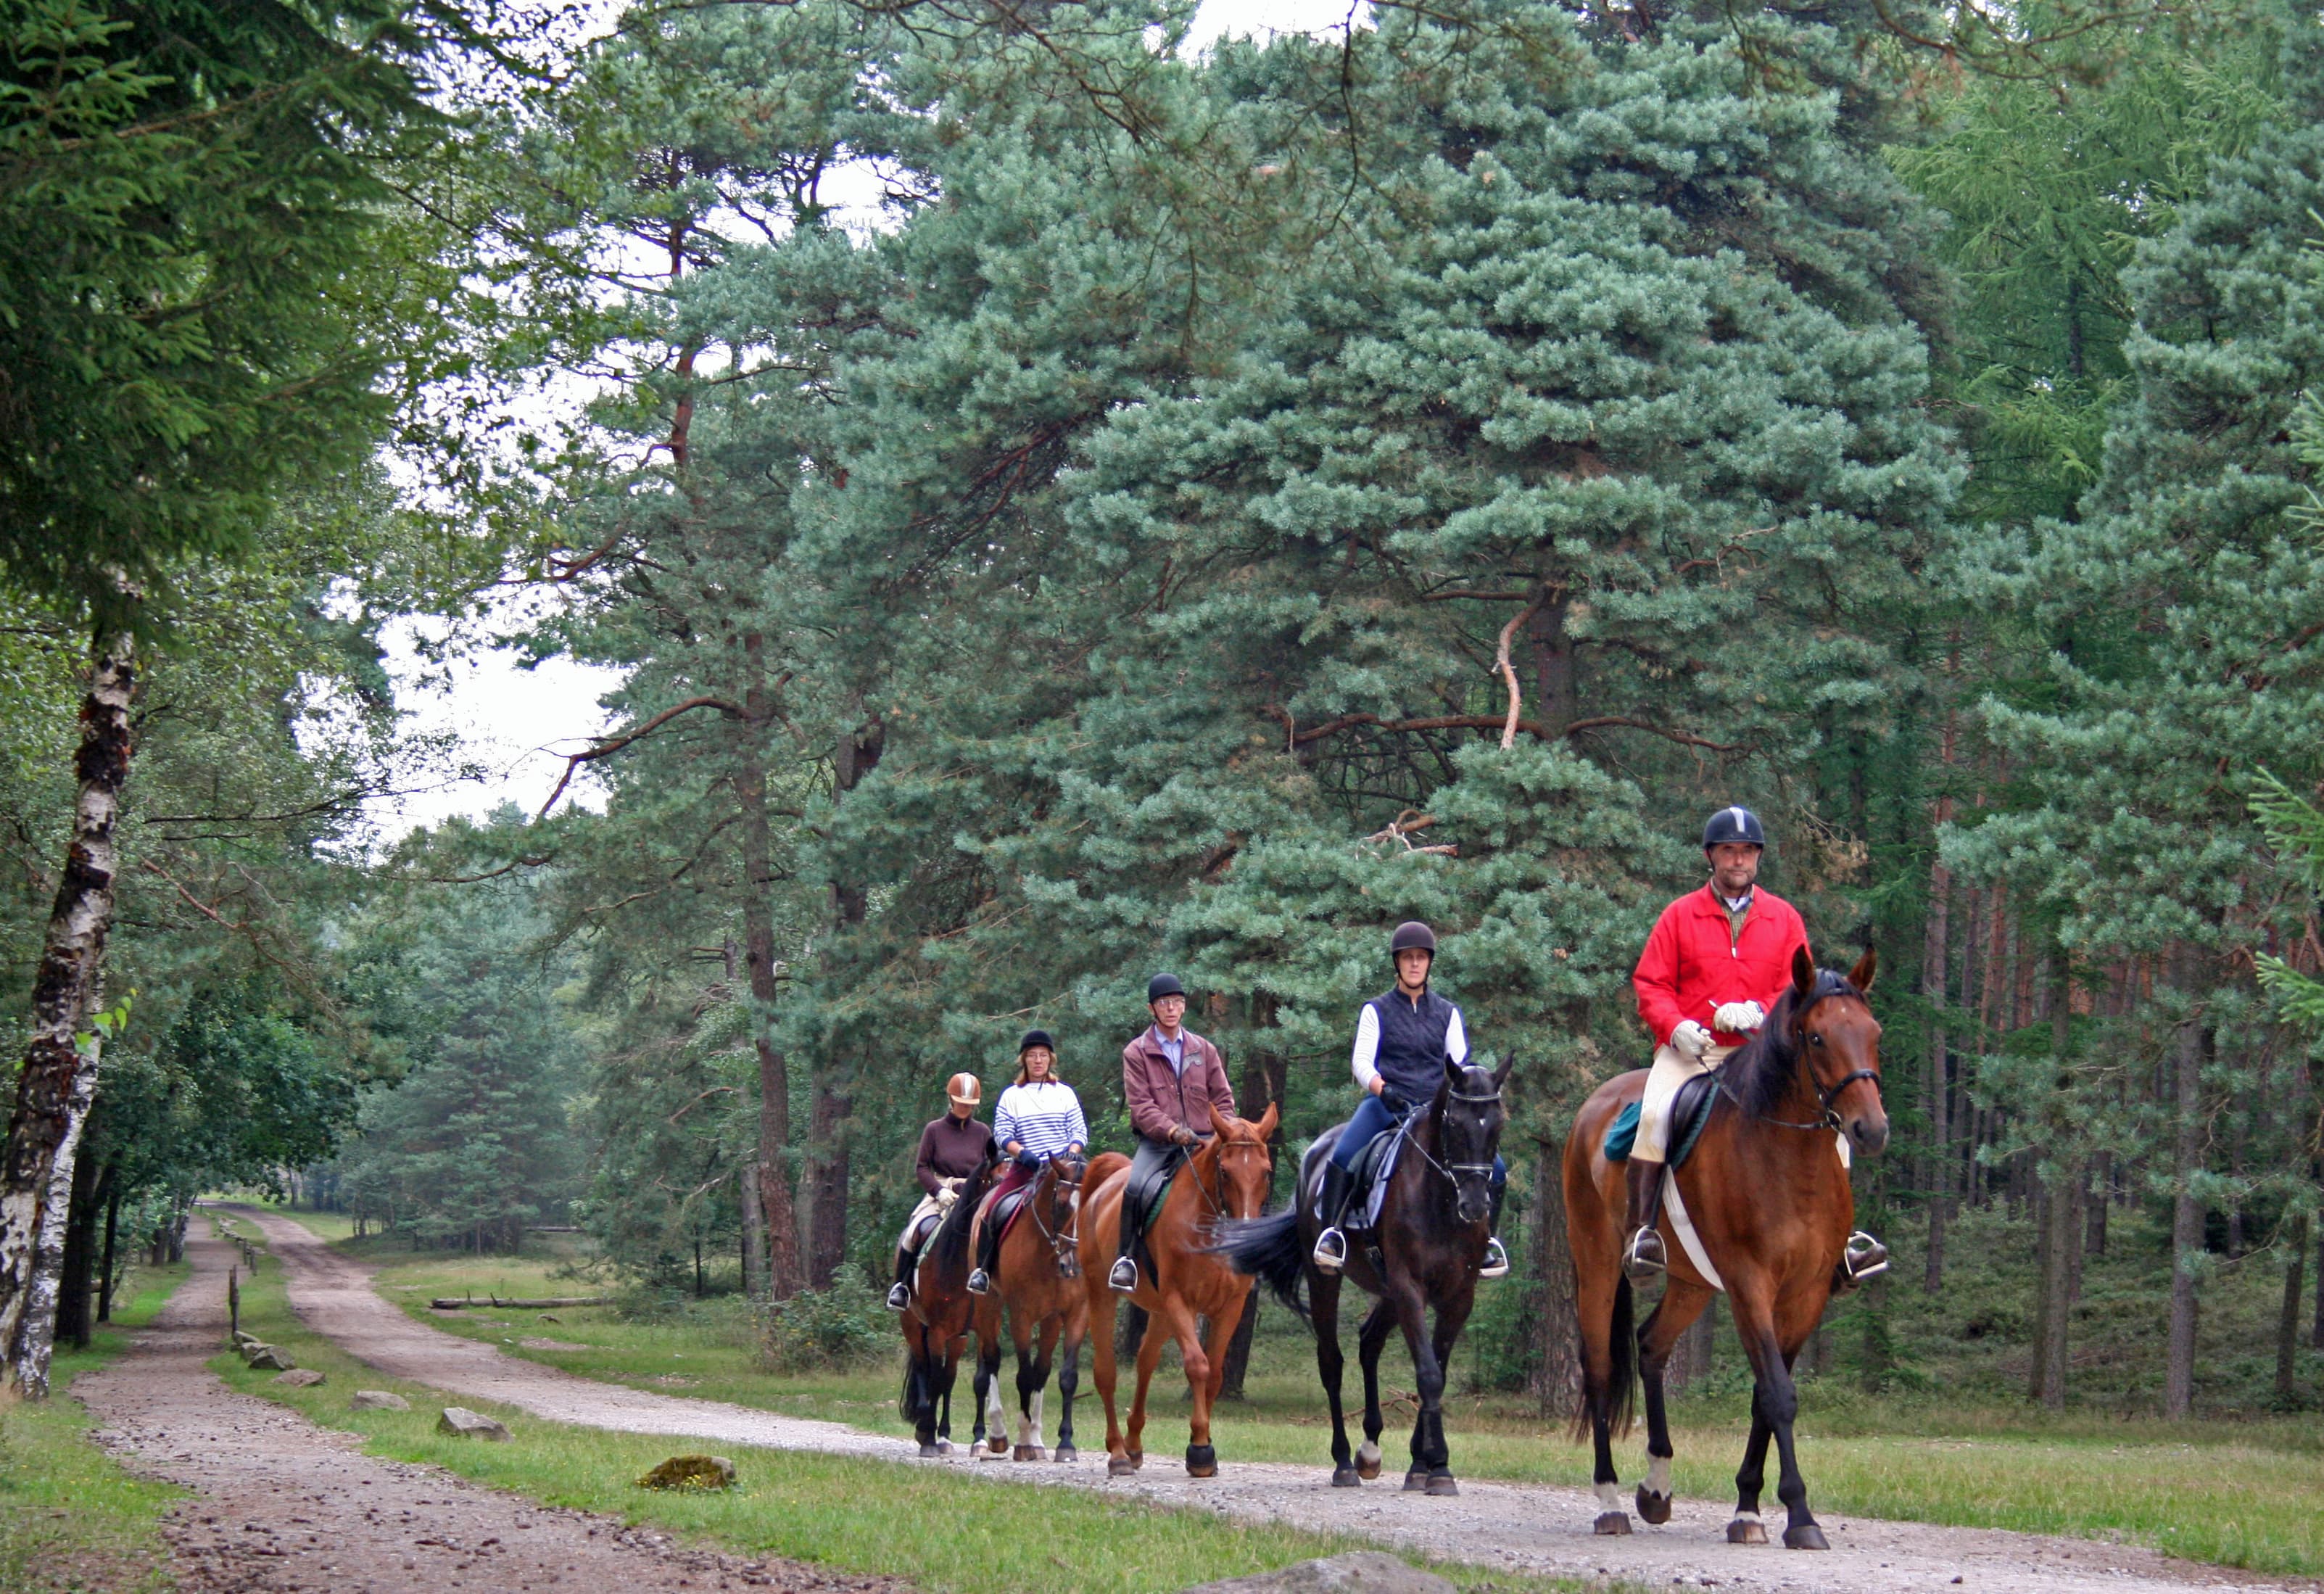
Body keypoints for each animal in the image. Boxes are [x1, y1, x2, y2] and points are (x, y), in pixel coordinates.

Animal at [888, 1157, 999, 1459]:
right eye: (996, 1179)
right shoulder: (936, 1331)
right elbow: (934, 1379)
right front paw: (927, 1436)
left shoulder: (981, 1330)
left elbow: (979, 1381)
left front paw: (979, 1440)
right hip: (914, 1327)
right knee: (926, 1371)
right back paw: (926, 1430)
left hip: (957, 1337)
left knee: (948, 1379)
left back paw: (944, 1436)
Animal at [980, 1157, 1087, 1468]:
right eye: (1060, 1203)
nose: (1072, 1265)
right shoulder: (1022, 1316)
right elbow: (1024, 1376)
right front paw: (1024, 1442)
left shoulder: (1074, 1314)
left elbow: (1063, 1377)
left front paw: (1064, 1444)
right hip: (988, 1303)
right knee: (991, 1359)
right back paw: (998, 1434)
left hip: (1050, 1321)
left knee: (1041, 1369)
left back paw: (1038, 1440)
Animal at [1078, 1106, 1283, 1477]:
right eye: (1225, 1171)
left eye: (1266, 1171)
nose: (1246, 1232)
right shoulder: (1180, 1302)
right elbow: (1197, 1365)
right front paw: (1200, 1449)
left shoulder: (1229, 1307)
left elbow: (1214, 1374)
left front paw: (1205, 1448)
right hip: (1103, 1294)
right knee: (1106, 1372)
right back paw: (1118, 1453)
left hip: (1160, 1312)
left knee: (1145, 1361)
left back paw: (1134, 1445)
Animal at [1208, 1060, 1515, 1496]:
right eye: (1454, 1122)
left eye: (1498, 1124)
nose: (1474, 1205)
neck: (1439, 1199)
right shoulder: (1409, 1288)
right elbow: (1428, 1373)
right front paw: (1438, 1467)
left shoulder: (1458, 1296)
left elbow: (1435, 1370)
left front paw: (1425, 1465)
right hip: (1328, 1281)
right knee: (1332, 1362)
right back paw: (1344, 1463)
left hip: (1387, 1291)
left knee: (1369, 1342)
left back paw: (1370, 1451)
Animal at [1561, 948, 1887, 1552]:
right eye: (1816, 1038)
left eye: (1872, 1033)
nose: (1870, 1129)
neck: (1787, 1159)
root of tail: (1596, 1103)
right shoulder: (1748, 1284)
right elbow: (1778, 1393)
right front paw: (1798, 1515)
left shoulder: (1804, 1294)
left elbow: (1765, 1395)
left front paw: (1749, 1508)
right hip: (1595, 1264)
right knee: (1598, 1366)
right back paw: (1609, 1501)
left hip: (1691, 1282)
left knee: (1650, 1346)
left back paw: (1656, 1488)